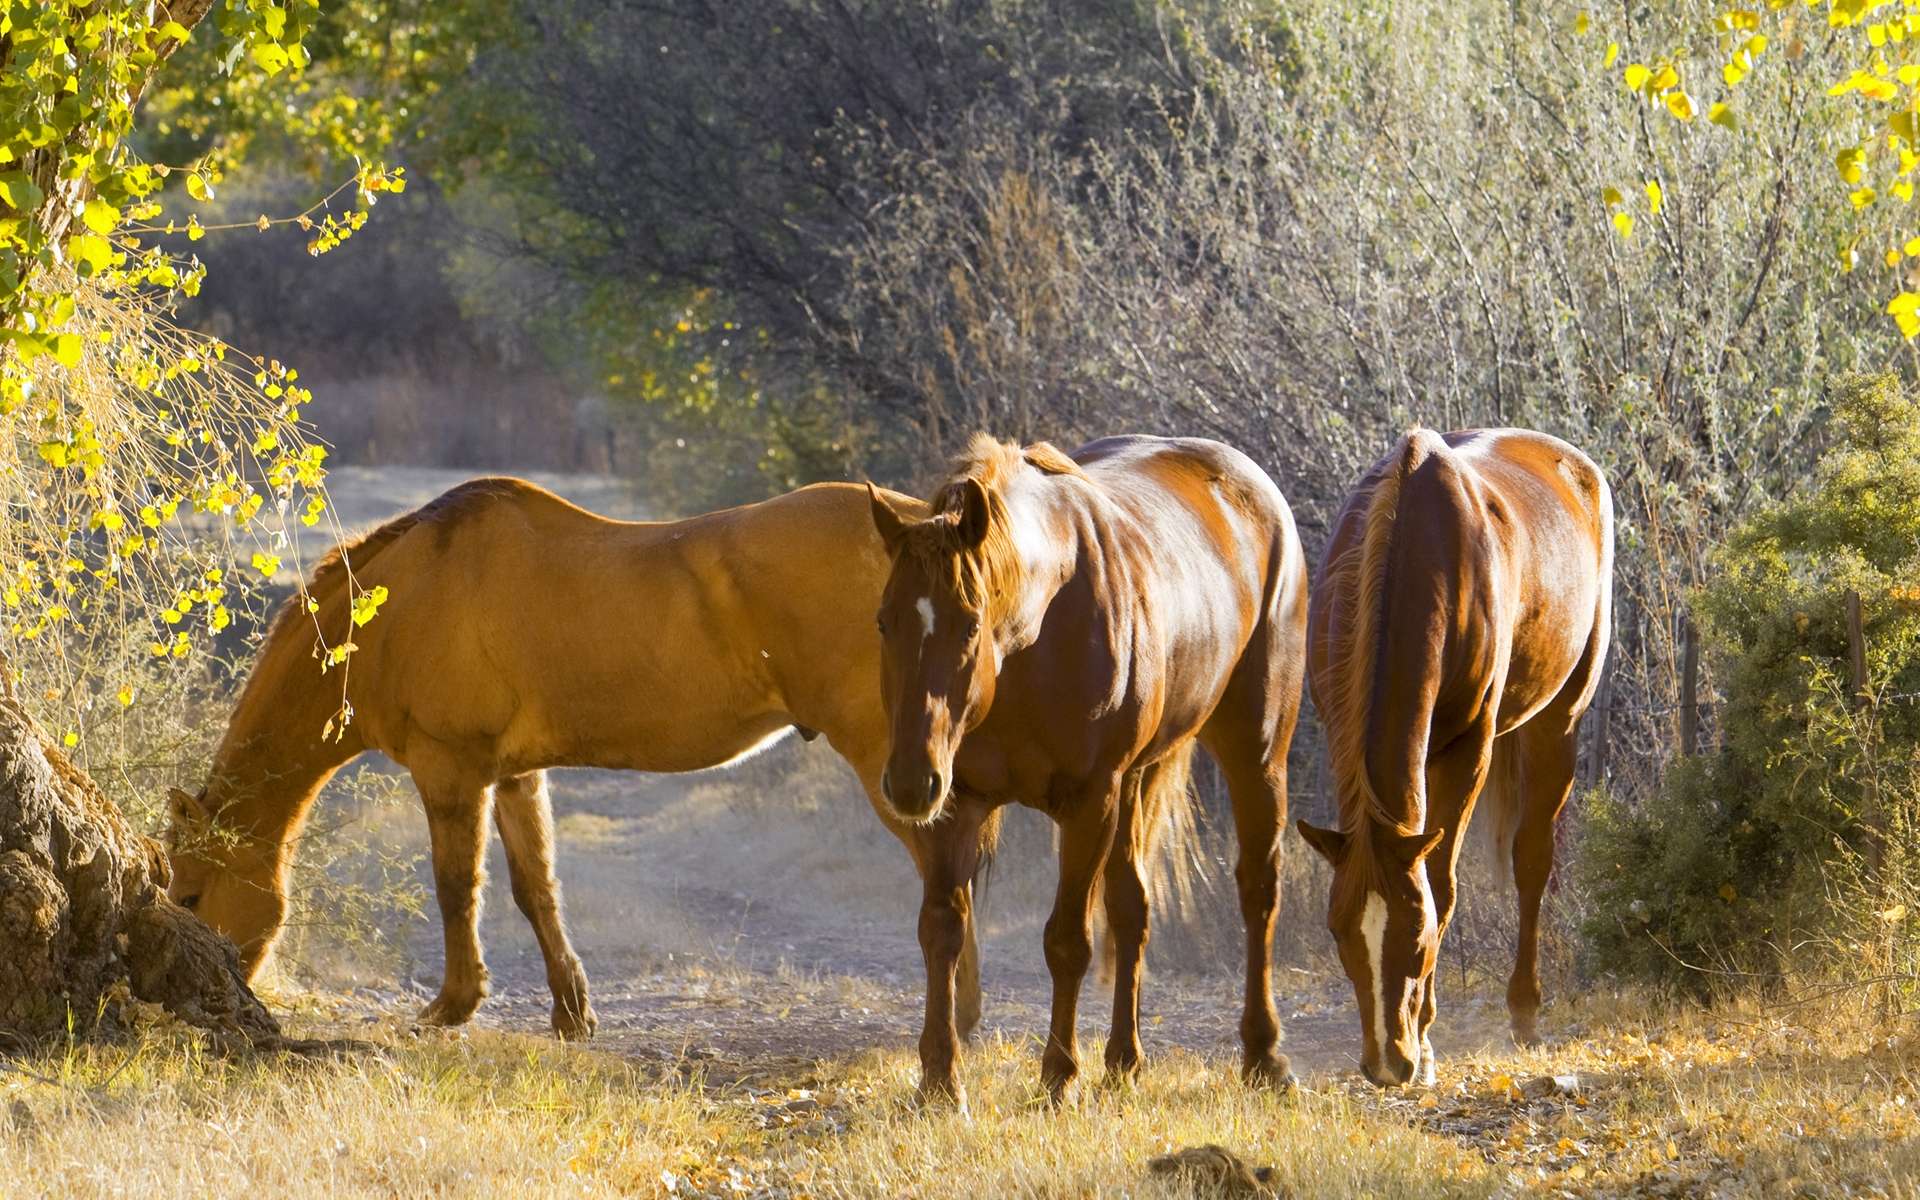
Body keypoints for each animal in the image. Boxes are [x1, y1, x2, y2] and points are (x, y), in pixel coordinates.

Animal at [159, 478, 1013, 1036]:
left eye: (193, 893)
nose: (208, 993)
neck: (403, 604)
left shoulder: (450, 771)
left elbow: (457, 887)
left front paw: (452, 1005)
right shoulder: (512, 774)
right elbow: (536, 888)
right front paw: (572, 1012)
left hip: (890, 765)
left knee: (946, 871)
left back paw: (959, 1019)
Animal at [867, 432, 1305, 1105]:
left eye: (970, 624)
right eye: (884, 621)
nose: (911, 783)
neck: (1036, 636)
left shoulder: (1089, 802)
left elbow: (1067, 940)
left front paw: (1059, 1076)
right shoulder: (958, 802)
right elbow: (942, 929)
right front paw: (940, 1080)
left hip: (1255, 756)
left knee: (1258, 890)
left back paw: (1265, 1055)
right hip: (1134, 783)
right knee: (1133, 908)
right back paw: (1124, 1059)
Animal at [1297, 428, 1612, 1082]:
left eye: (1418, 937)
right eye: (1338, 932)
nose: (1386, 1062)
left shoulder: (1466, 752)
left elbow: (1442, 885)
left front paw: (1426, 1041)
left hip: (1559, 722)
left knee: (1533, 862)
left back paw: (1523, 1012)